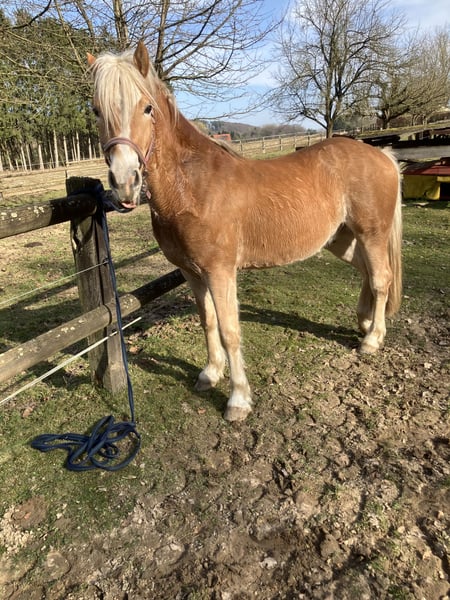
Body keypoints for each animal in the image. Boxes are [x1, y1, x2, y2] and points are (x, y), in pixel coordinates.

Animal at [87, 41, 402, 422]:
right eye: (96, 110)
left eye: (147, 108)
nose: (124, 183)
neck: (193, 188)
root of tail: (382, 155)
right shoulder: (191, 272)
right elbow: (208, 321)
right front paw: (210, 374)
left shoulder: (220, 271)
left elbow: (229, 331)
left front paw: (238, 399)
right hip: (340, 239)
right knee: (367, 272)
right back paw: (365, 323)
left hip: (371, 233)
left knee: (381, 278)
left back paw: (372, 339)